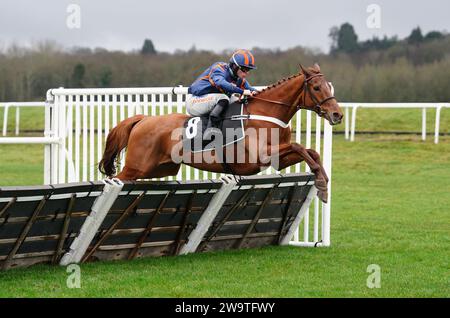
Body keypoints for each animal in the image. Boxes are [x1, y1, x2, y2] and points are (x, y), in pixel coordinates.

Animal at [99, 63, 344, 202]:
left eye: (328, 86)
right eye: (316, 88)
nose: (337, 114)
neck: (266, 112)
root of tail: (144, 120)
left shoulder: (277, 160)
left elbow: (311, 152)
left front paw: (323, 182)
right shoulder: (262, 155)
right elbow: (299, 146)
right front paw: (321, 182)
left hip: (158, 169)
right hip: (136, 167)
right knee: (114, 179)